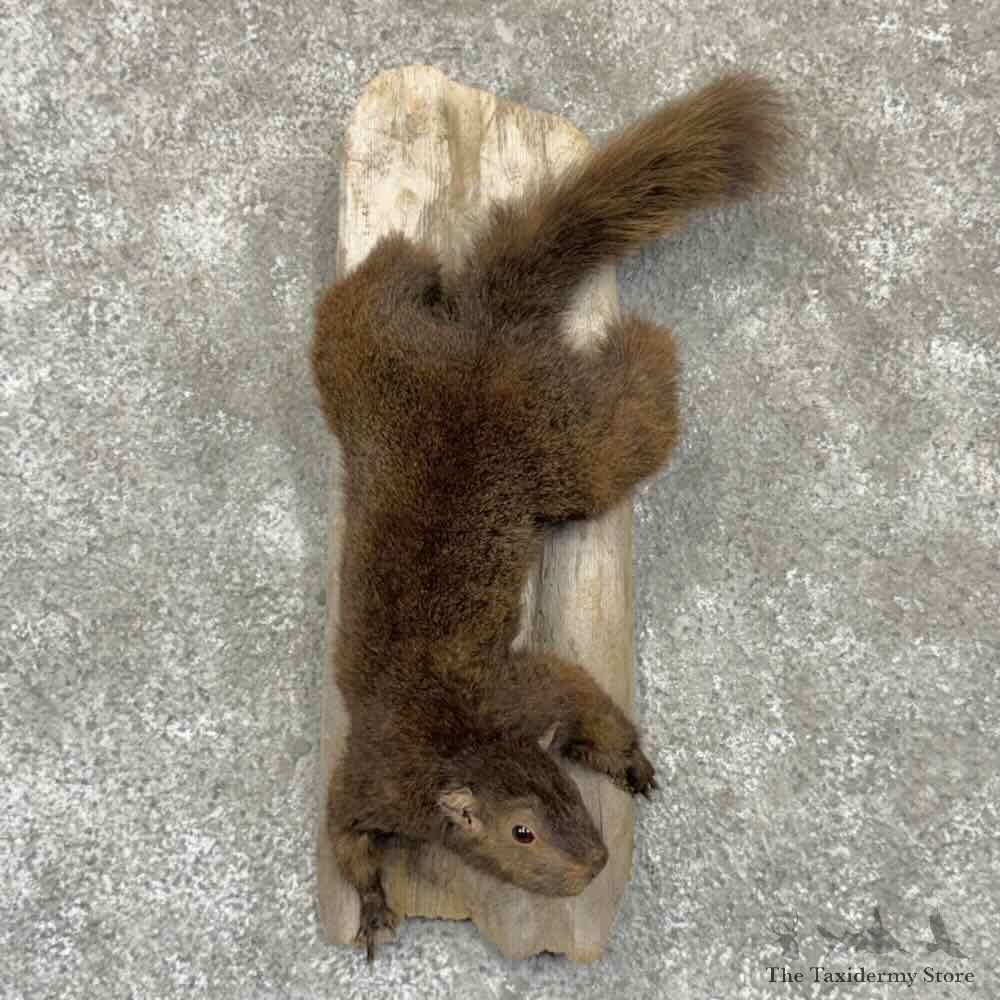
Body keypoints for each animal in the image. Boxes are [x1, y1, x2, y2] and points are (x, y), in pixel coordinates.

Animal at [311, 72, 789, 959]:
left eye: (567, 787)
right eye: (521, 832)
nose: (596, 863)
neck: (456, 736)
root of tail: (485, 331)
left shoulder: (520, 690)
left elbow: (579, 689)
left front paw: (630, 760)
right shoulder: (376, 770)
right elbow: (345, 836)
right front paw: (374, 909)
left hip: (536, 436)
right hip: (390, 374)